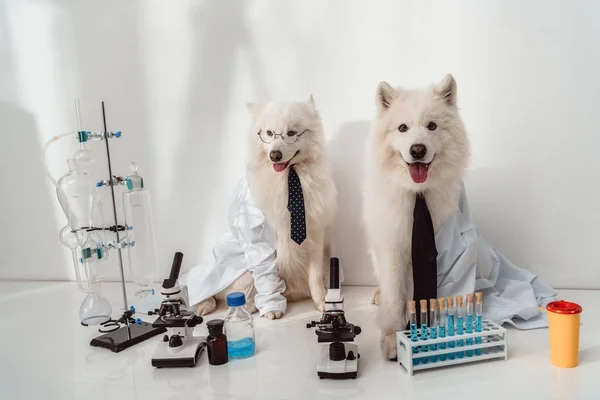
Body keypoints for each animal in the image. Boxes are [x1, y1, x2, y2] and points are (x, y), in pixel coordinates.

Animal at [197, 97, 338, 318]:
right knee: (220, 292)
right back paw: (215, 305)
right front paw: (272, 307)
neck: (290, 177)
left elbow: (314, 276)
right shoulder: (257, 239)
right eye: (269, 133)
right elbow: (267, 278)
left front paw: (322, 301)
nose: (275, 155)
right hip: (239, 270)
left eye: (291, 133)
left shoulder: (315, 233)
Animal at [364, 73, 472, 358]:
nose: (418, 150)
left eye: (432, 126)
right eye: (403, 128)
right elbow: (393, 299)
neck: (417, 193)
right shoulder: (392, 249)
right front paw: (392, 337)